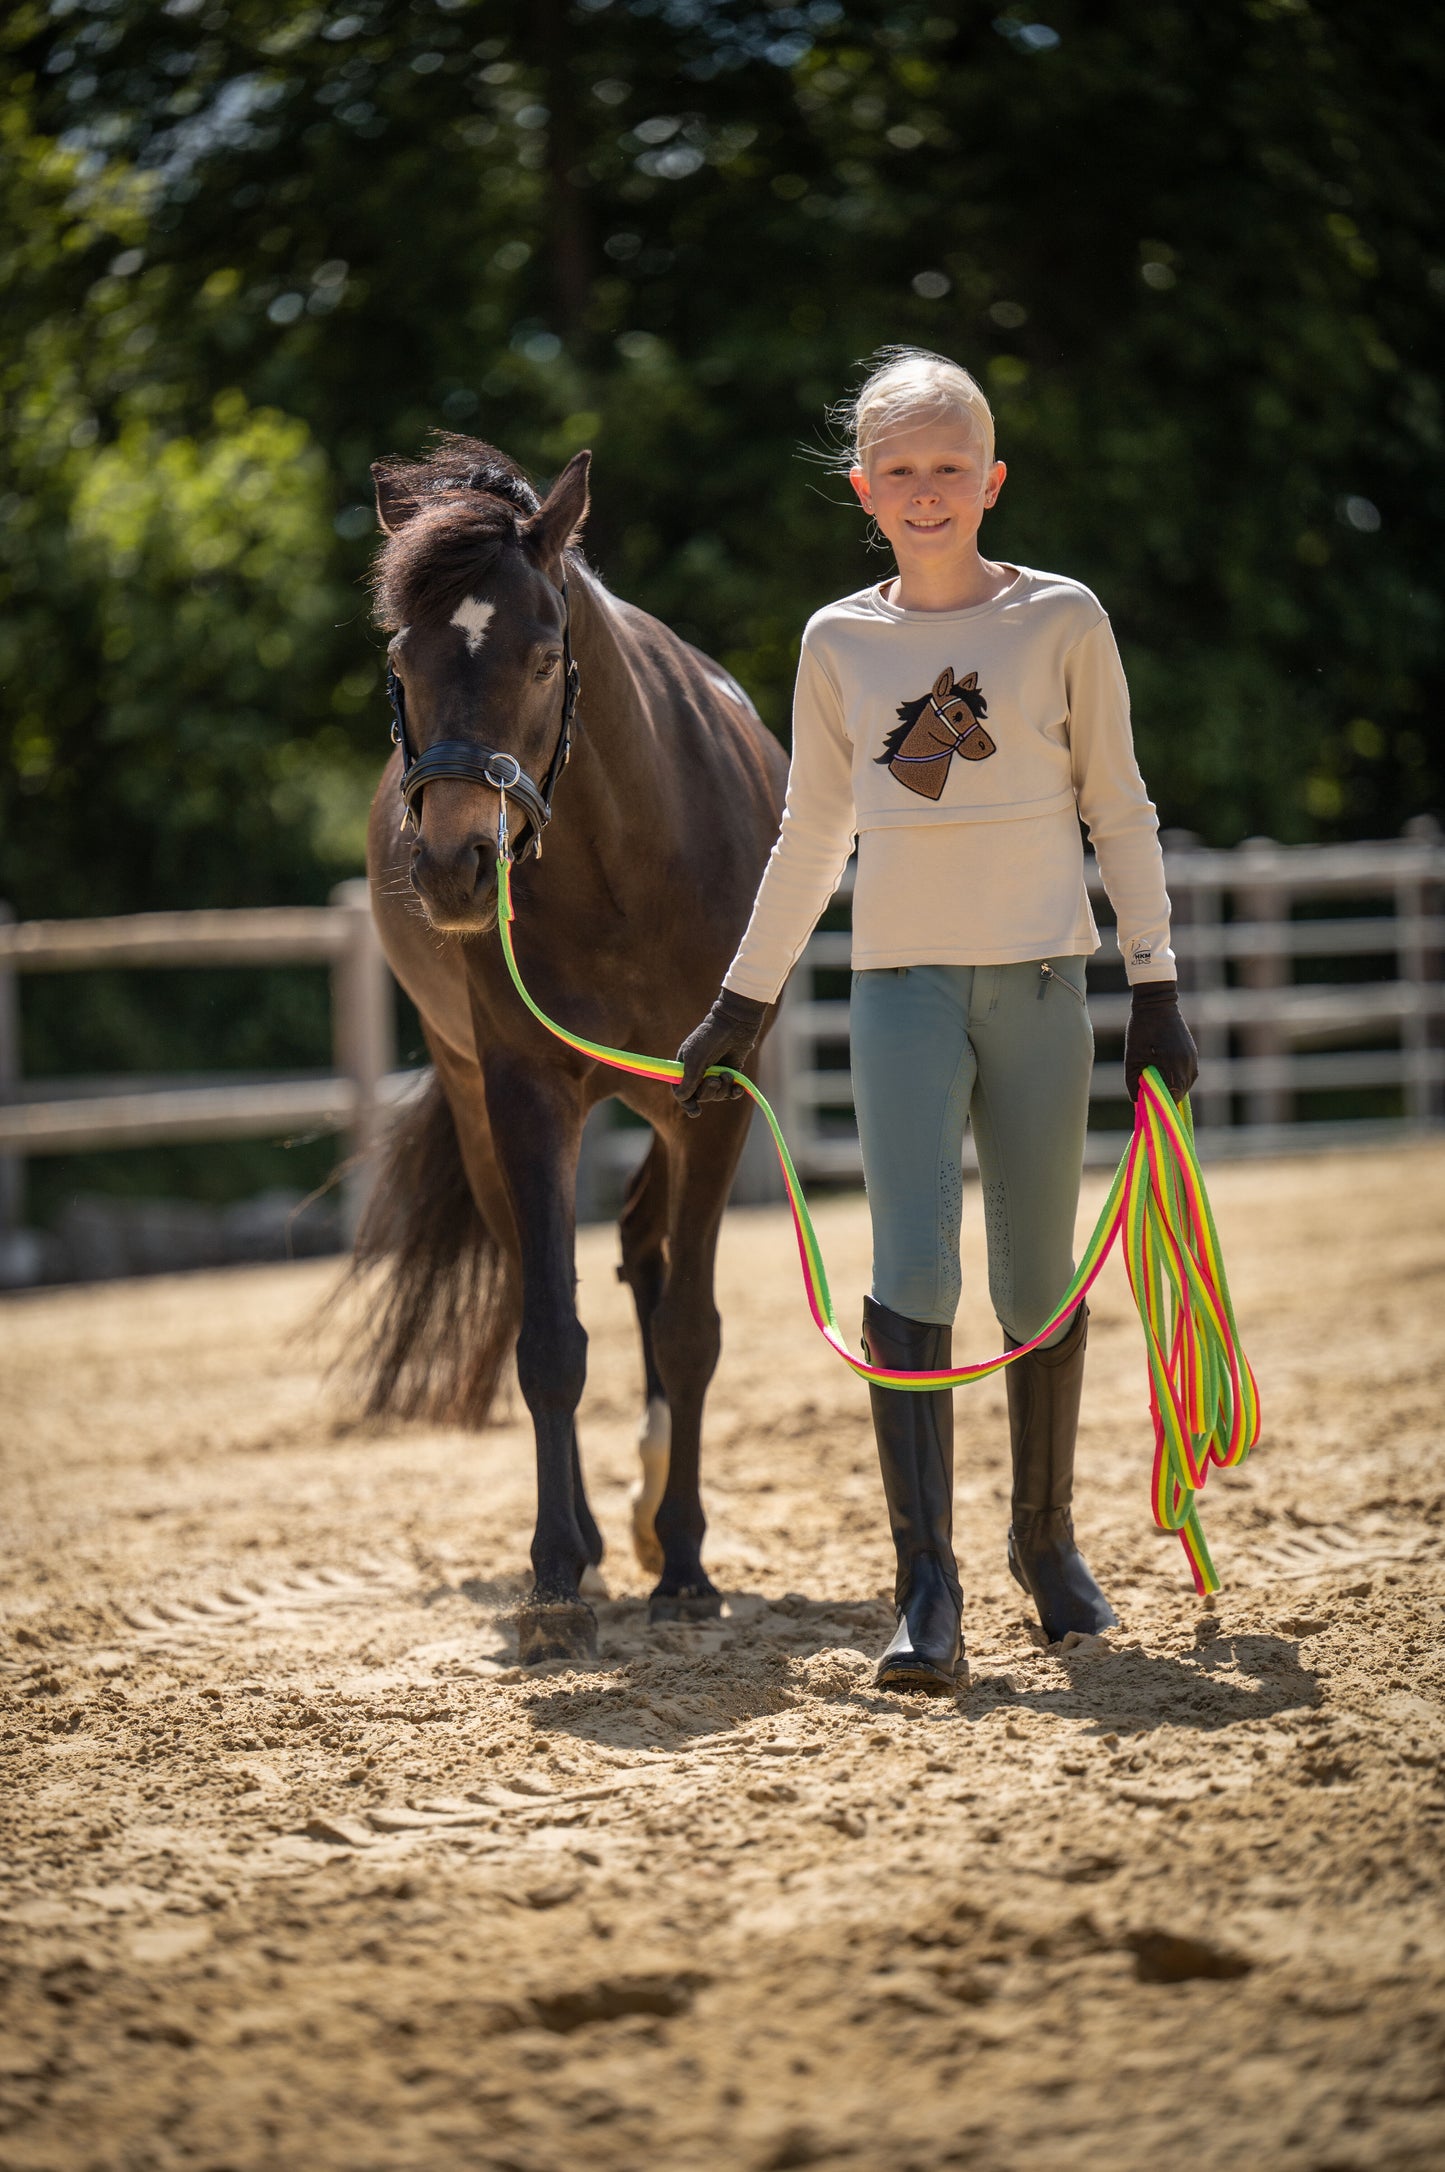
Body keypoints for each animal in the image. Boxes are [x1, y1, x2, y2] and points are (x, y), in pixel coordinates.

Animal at [352, 436, 788, 1663]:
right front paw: (555, 1574)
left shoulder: (717, 1090)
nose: (455, 865)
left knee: (649, 1252)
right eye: (399, 654)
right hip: (484, 1109)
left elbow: (688, 1330)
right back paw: (596, 1538)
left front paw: (684, 1566)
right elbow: (549, 1337)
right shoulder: (525, 1092)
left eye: (545, 657)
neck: (623, 860)